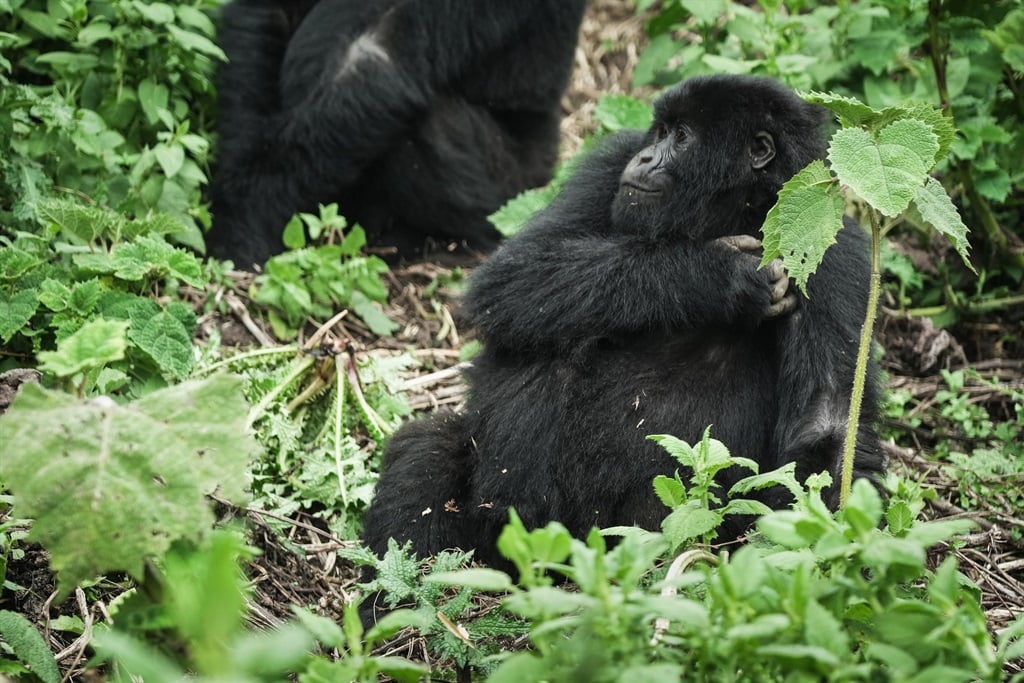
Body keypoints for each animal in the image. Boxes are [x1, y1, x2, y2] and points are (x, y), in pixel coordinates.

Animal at [362, 76, 888, 573]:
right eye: (658, 131)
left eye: (682, 136)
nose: (645, 155)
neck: (738, 210)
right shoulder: (608, 166)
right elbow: (515, 273)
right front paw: (715, 277)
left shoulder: (835, 250)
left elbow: (827, 426)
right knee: (502, 374)